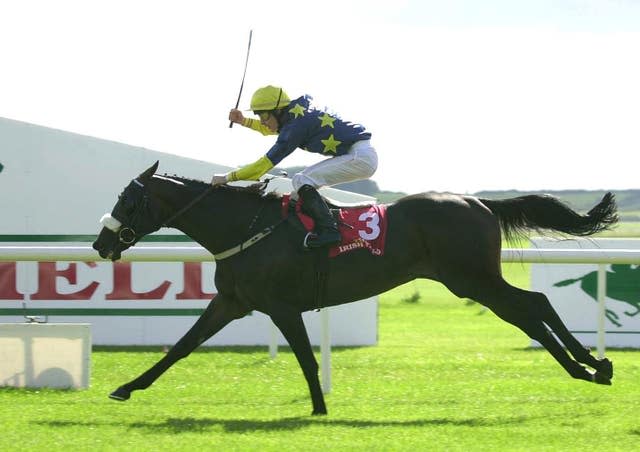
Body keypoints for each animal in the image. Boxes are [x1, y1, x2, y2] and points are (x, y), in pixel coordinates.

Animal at [92, 162, 616, 416]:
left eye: (127, 200)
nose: (100, 243)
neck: (246, 227)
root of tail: (479, 201)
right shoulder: (233, 302)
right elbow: (181, 346)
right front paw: (126, 387)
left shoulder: (282, 307)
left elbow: (306, 358)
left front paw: (320, 407)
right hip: (472, 278)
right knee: (532, 305)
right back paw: (591, 366)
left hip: (471, 277)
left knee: (529, 306)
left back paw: (589, 366)